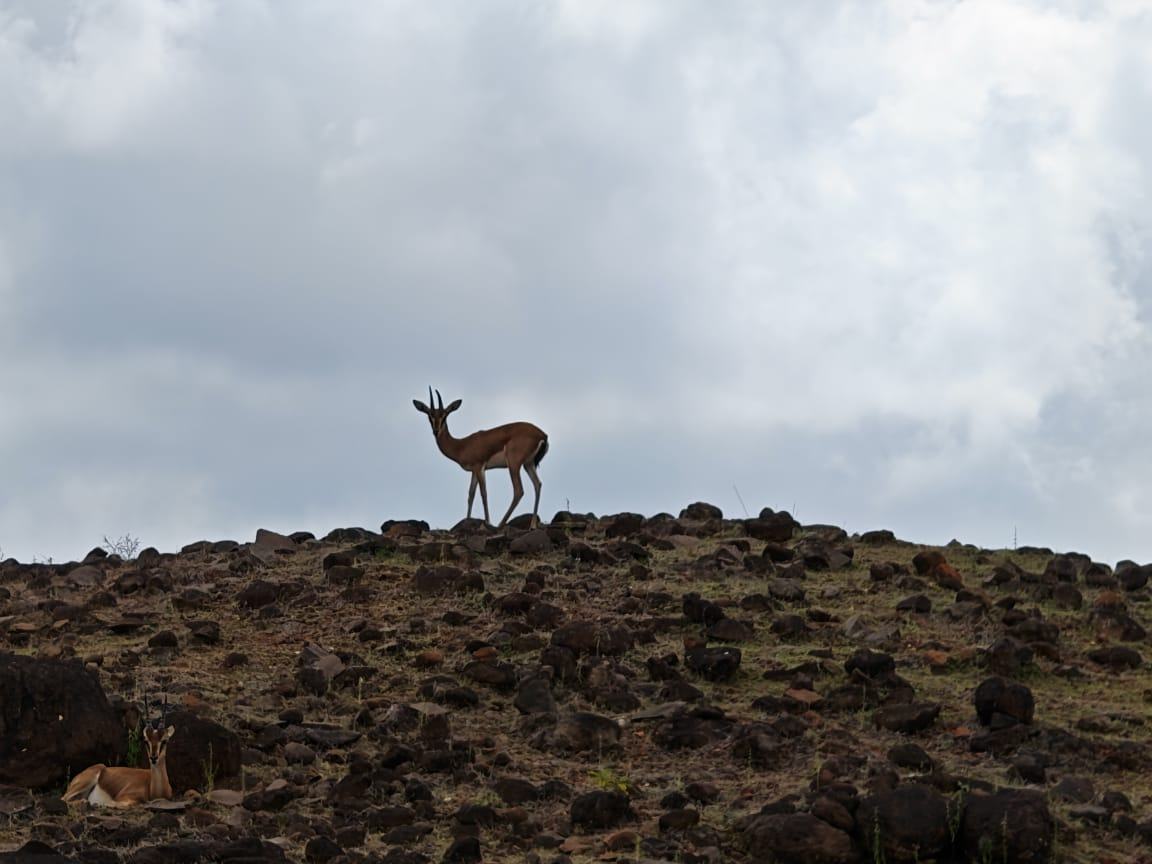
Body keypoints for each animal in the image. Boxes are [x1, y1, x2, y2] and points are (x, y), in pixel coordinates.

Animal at [414, 388, 549, 528]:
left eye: (444, 415)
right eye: (429, 415)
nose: (436, 431)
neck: (461, 445)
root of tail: (542, 434)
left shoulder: (480, 467)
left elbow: (483, 494)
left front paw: (487, 522)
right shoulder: (474, 471)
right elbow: (470, 495)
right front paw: (467, 520)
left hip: (514, 464)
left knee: (518, 491)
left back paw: (500, 524)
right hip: (528, 464)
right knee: (538, 484)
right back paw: (532, 525)